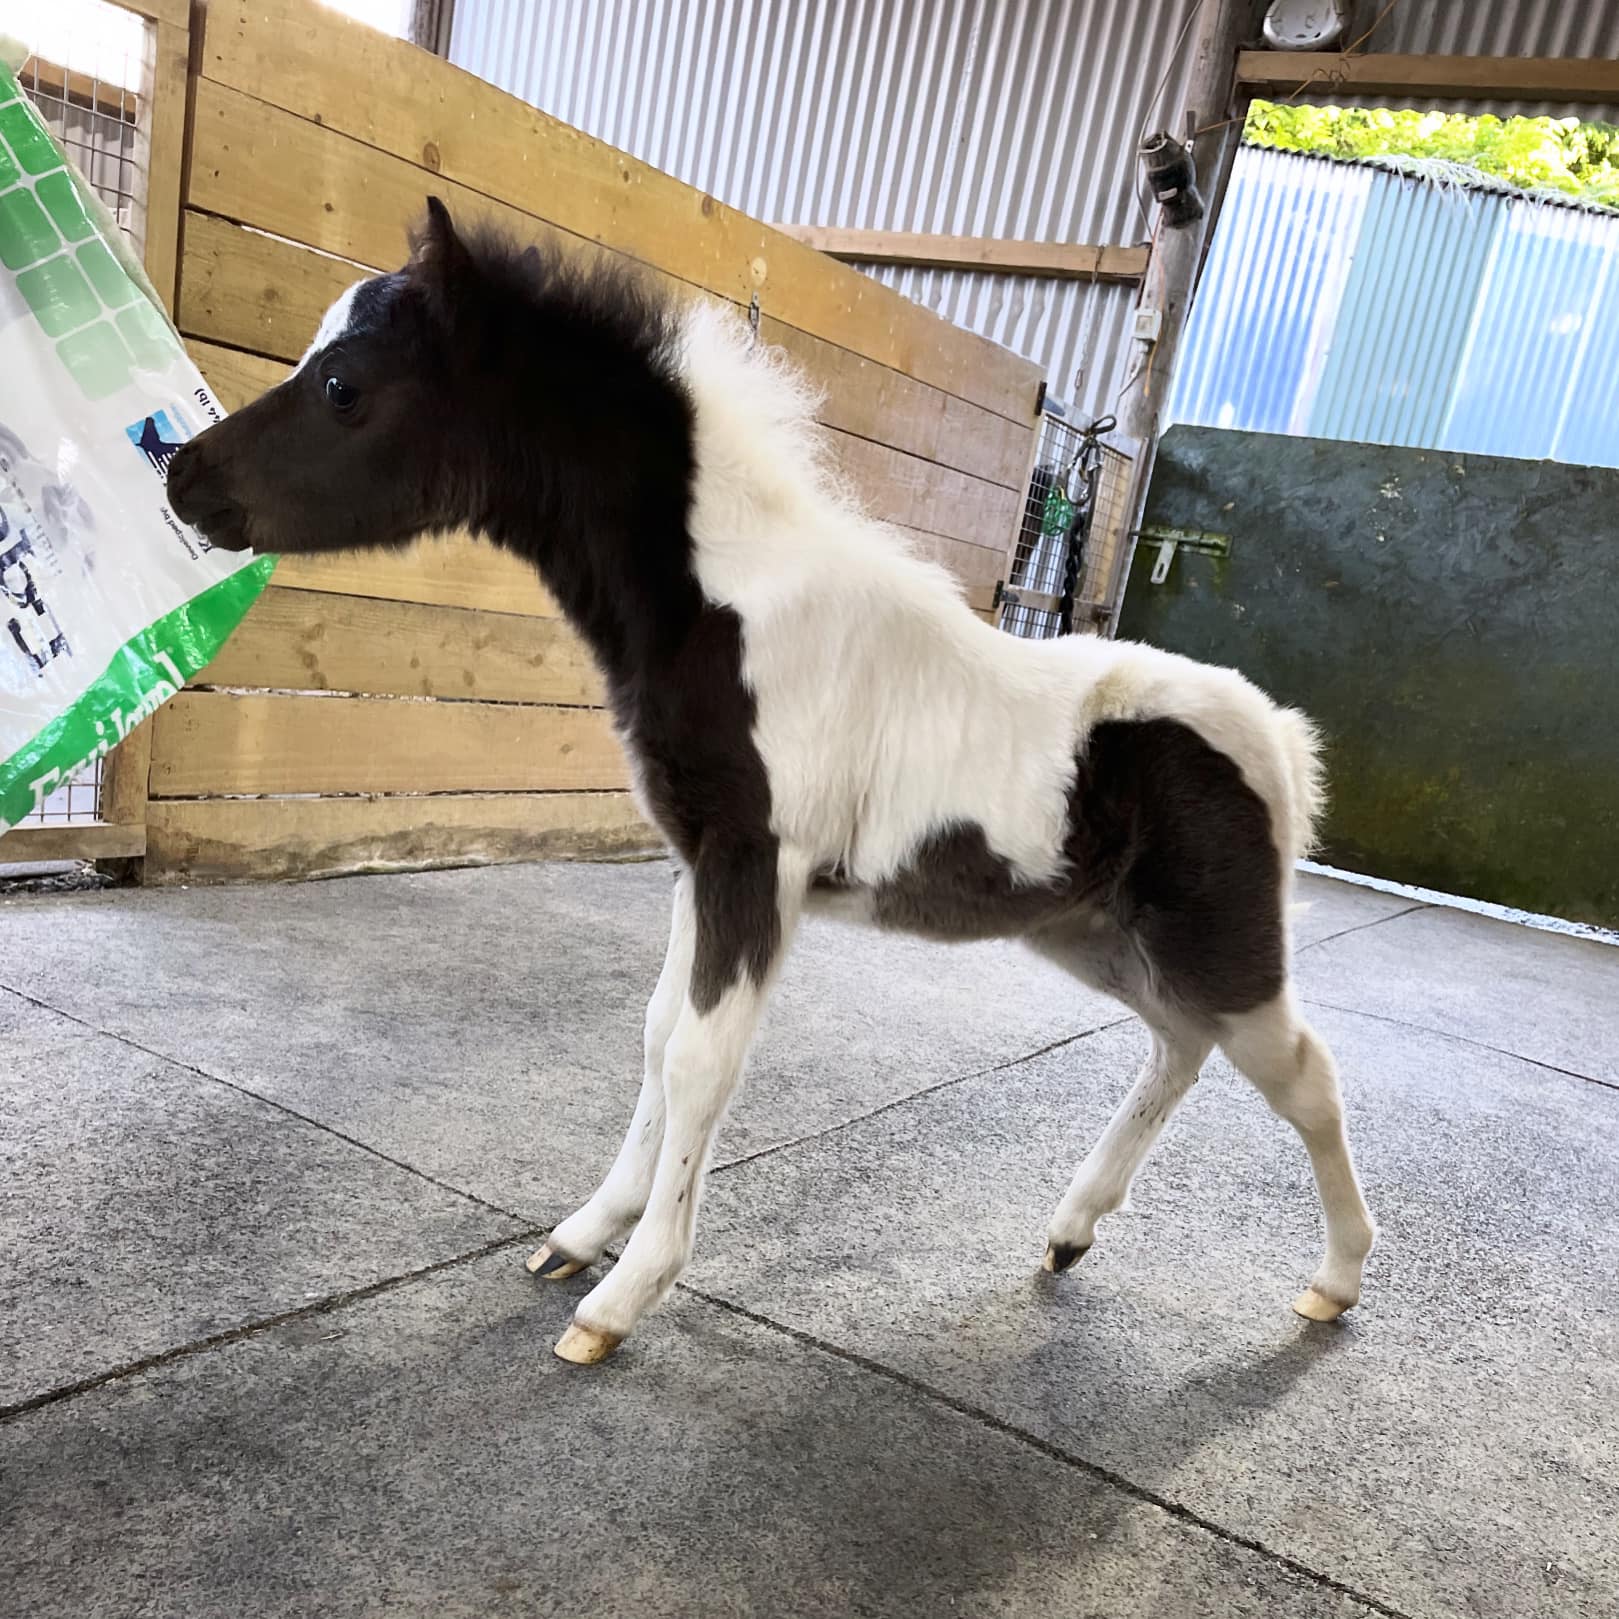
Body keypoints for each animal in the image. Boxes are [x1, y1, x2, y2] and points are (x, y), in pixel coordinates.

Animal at [167, 199, 1377, 1365]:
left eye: (344, 387)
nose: (182, 477)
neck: (727, 606)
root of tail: (1276, 737)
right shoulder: (695, 862)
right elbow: (658, 1035)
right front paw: (583, 1233)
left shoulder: (757, 862)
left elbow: (701, 1059)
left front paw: (621, 1297)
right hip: (1095, 936)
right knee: (1181, 1044)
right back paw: (1071, 1230)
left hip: (1213, 945)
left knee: (1301, 1071)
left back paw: (1334, 1282)